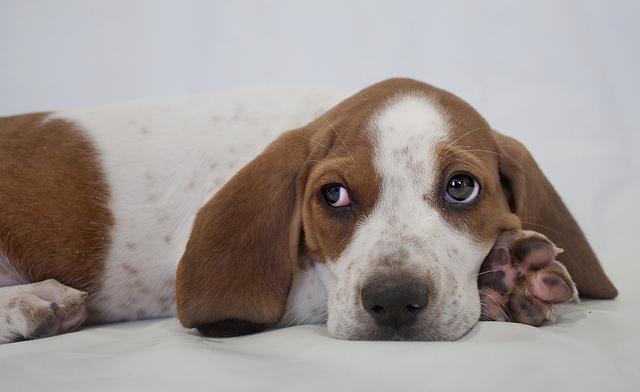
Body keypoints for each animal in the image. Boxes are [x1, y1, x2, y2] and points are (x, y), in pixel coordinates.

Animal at [1, 78, 620, 342]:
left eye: (462, 188)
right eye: (334, 196)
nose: (394, 303)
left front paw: (507, 271)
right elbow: (321, 291)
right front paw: (504, 279)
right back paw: (29, 303)